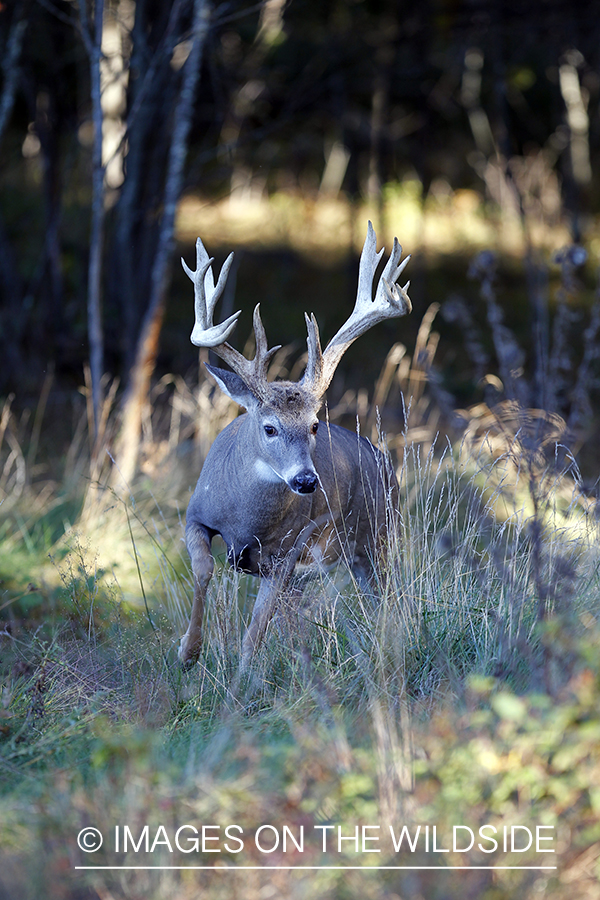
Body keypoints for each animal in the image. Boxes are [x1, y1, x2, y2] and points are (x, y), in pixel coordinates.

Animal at [178, 224, 412, 668]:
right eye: (269, 428)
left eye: (315, 424)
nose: (305, 481)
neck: (246, 521)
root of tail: (384, 461)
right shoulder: (195, 514)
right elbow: (203, 570)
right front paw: (188, 650)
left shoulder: (285, 555)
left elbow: (255, 632)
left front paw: (241, 678)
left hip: (377, 537)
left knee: (383, 598)